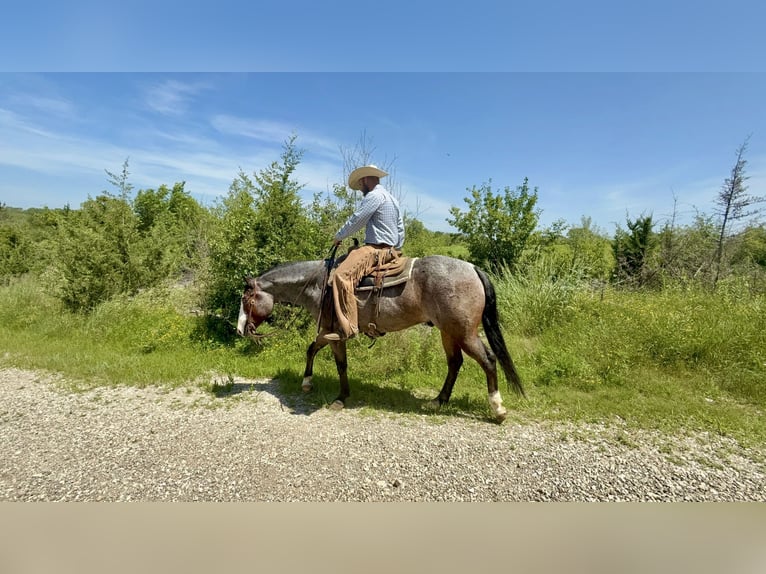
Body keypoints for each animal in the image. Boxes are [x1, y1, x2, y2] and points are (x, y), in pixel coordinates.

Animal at [236, 254, 525, 422]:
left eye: (247, 299)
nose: (241, 330)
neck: (319, 284)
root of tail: (473, 268)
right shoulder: (327, 331)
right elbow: (311, 349)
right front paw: (307, 382)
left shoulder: (336, 334)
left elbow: (340, 364)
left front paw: (341, 397)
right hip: (448, 332)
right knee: (455, 363)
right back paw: (438, 401)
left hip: (464, 332)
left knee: (488, 360)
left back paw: (497, 409)